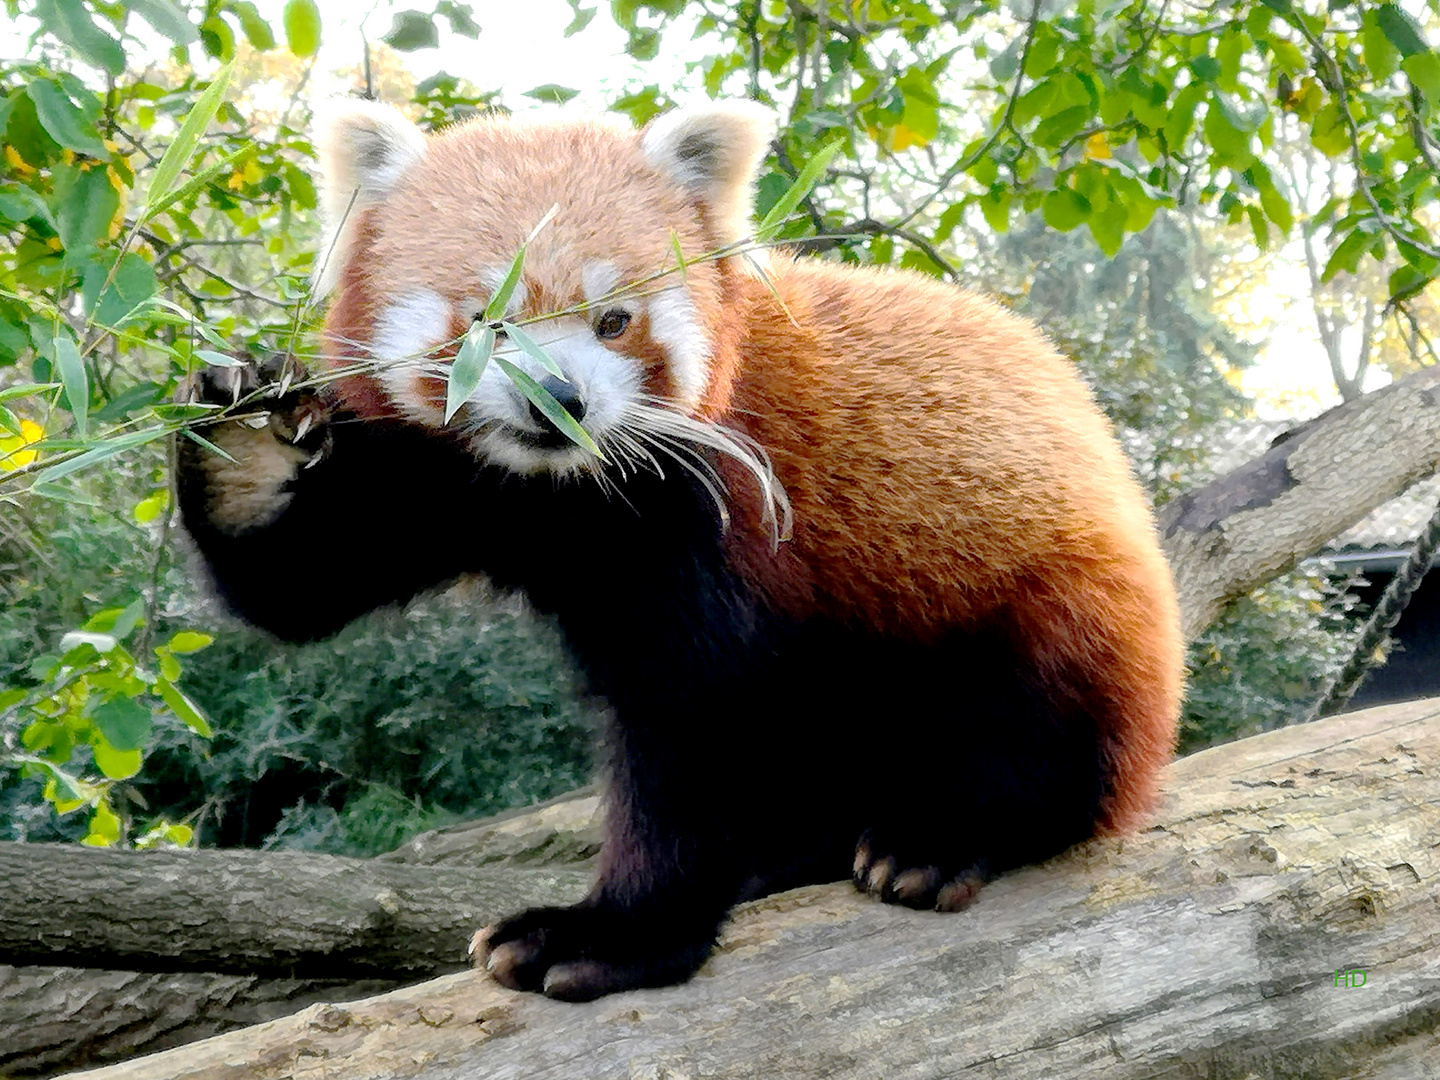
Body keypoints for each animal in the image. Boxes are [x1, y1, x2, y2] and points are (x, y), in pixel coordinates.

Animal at [177, 99, 1180, 1008]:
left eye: (614, 321)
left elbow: (697, 726)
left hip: (1047, 607)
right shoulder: (455, 483)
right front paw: (247, 442)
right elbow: (301, 582)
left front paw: (615, 936)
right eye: (485, 320)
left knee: (1031, 724)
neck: (559, 495)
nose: (558, 401)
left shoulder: (717, 511)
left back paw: (936, 839)